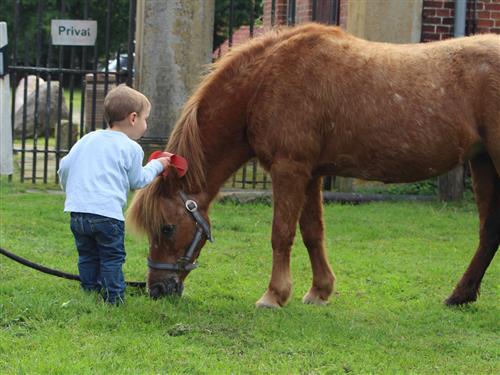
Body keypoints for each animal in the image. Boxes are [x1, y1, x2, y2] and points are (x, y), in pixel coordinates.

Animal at [126, 25, 500, 310]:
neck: (266, 80)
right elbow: (312, 233)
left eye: (167, 228)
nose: (156, 289)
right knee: (488, 232)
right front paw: (319, 291)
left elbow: (282, 233)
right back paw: (460, 295)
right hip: (482, 163)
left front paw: (274, 296)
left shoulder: (289, 169)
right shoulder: (311, 174)